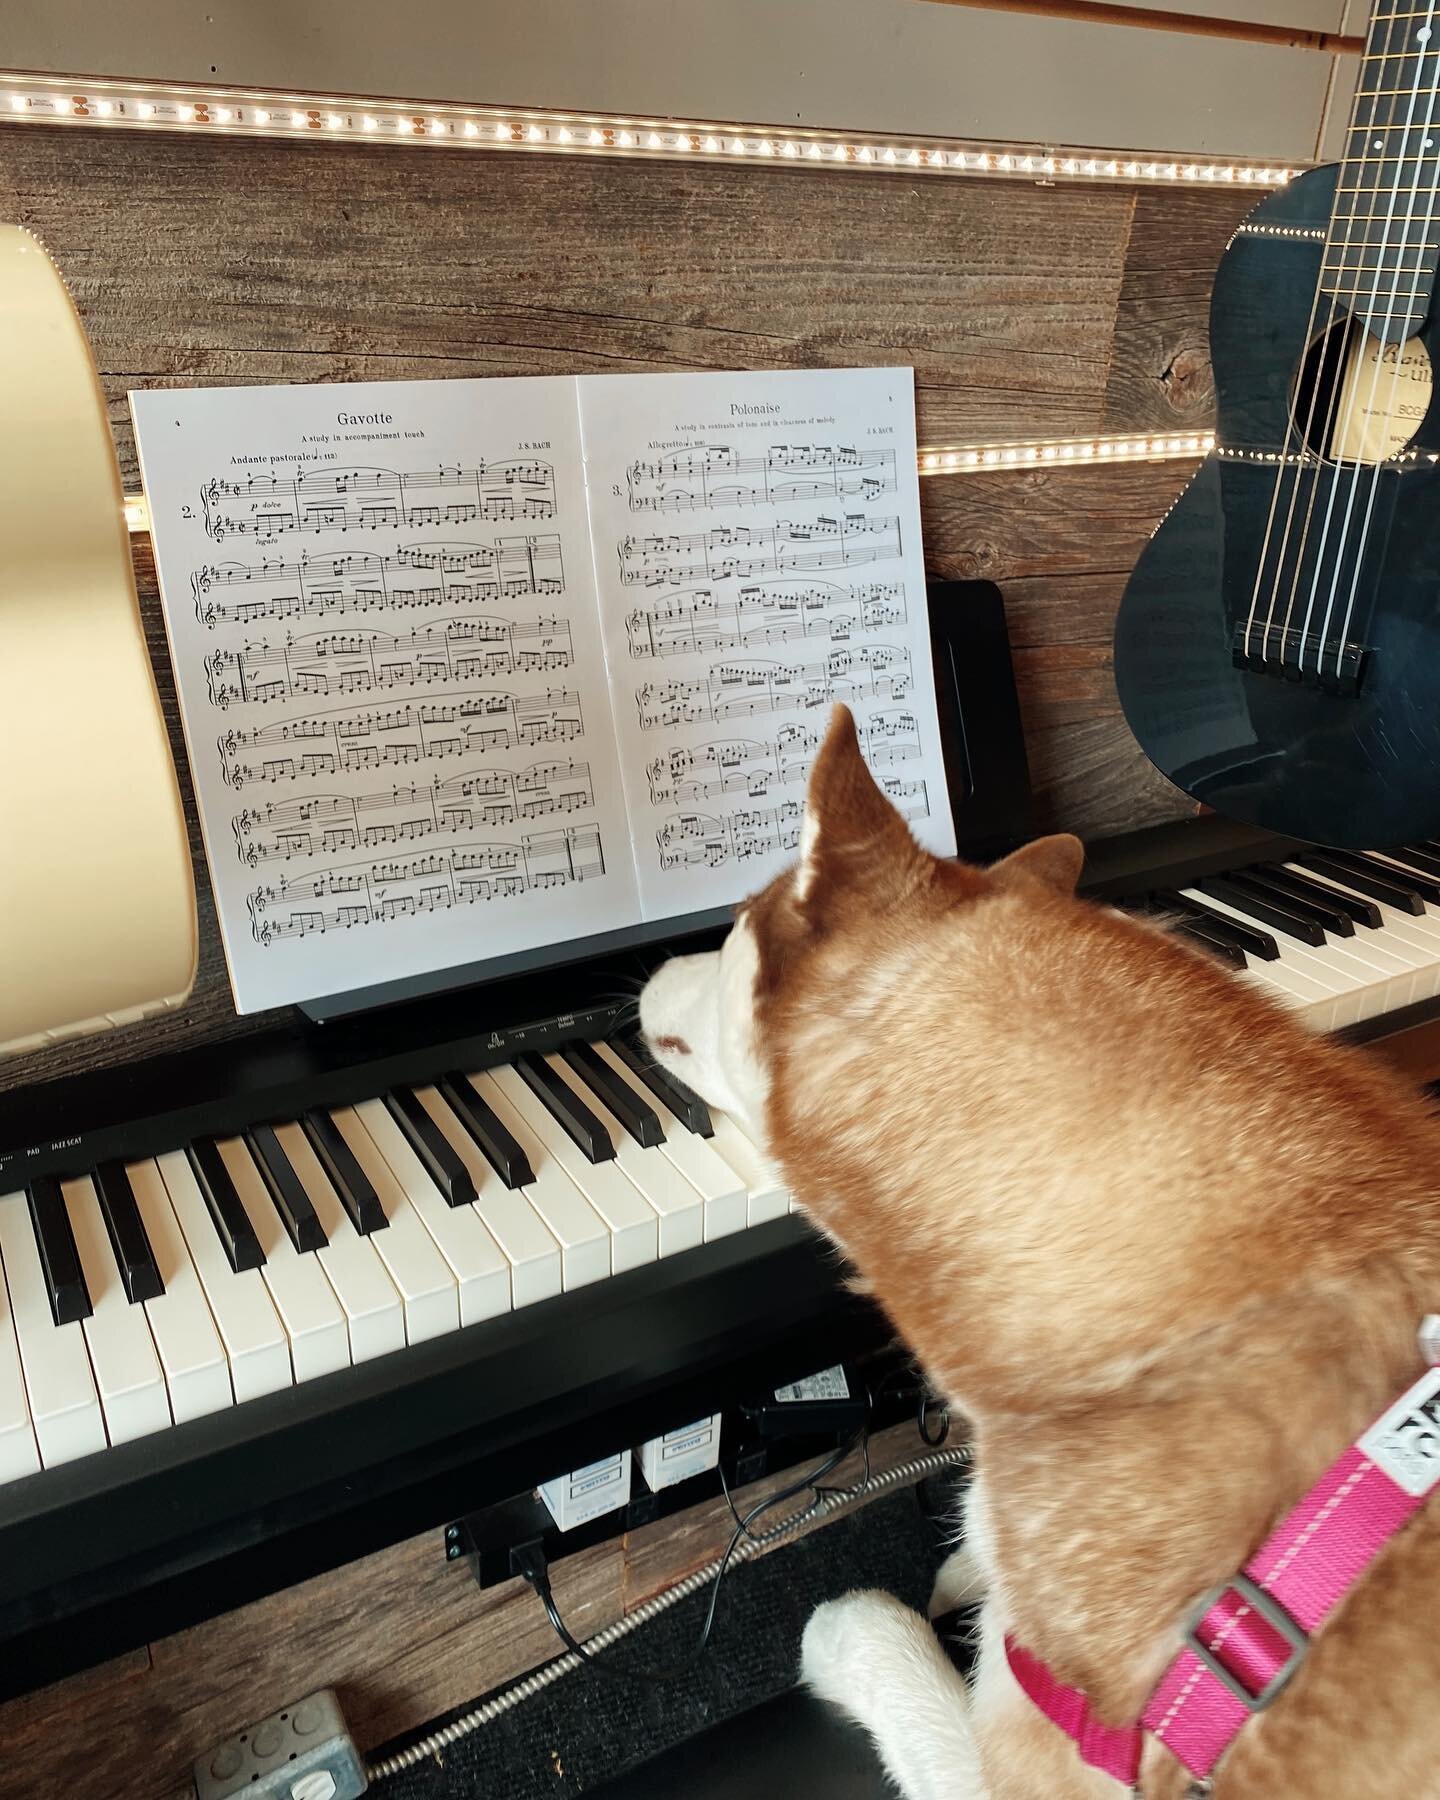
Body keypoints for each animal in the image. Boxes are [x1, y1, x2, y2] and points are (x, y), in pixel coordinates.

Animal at [644, 702, 1440, 1800]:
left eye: (725, 929)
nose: (641, 974)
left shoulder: (1016, 1764)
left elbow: (886, 1646)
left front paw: (873, 1619)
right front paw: (969, 1565)